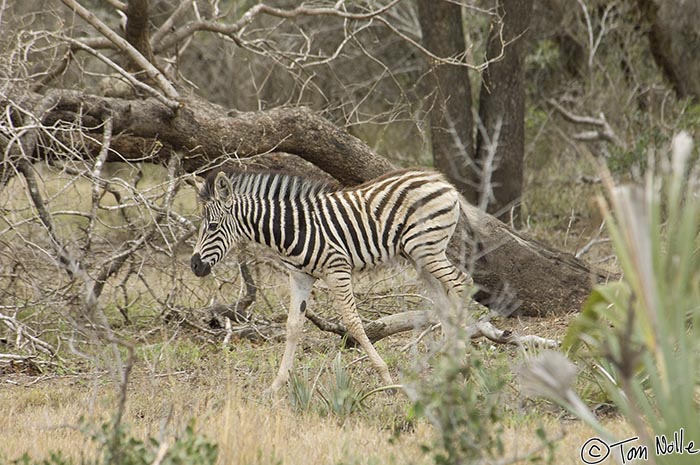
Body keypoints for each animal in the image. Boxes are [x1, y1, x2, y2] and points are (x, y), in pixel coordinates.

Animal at [191, 167, 470, 392]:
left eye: (213, 226)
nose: (194, 266)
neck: (291, 228)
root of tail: (439, 179)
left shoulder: (338, 269)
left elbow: (353, 322)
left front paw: (386, 379)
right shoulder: (300, 277)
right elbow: (293, 326)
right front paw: (277, 385)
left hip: (427, 248)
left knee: (461, 283)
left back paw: (462, 358)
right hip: (418, 256)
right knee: (443, 303)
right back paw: (448, 363)